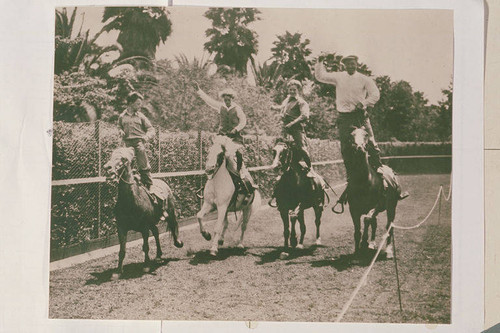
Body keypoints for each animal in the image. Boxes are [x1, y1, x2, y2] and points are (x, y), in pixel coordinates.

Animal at [103, 147, 184, 278]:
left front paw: (146, 266)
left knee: (173, 225)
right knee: (156, 232)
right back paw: (158, 255)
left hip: (170, 212)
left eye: (123, 159)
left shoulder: (144, 227)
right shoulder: (121, 228)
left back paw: (177, 243)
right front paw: (118, 271)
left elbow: (145, 246)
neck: (131, 201)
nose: (108, 168)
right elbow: (122, 250)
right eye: (111, 155)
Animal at [344, 127, 402, 256]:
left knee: (389, 226)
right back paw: (372, 243)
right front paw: (358, 249)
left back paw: (388, 250)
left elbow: (367, 219)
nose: (359, 147)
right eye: (351, 135)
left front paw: (364, 242)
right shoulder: (353, 209)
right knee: (374, 223)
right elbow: (358, 230)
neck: (363, 181)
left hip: (391, 207)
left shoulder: (376, 206)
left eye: (366, 134)